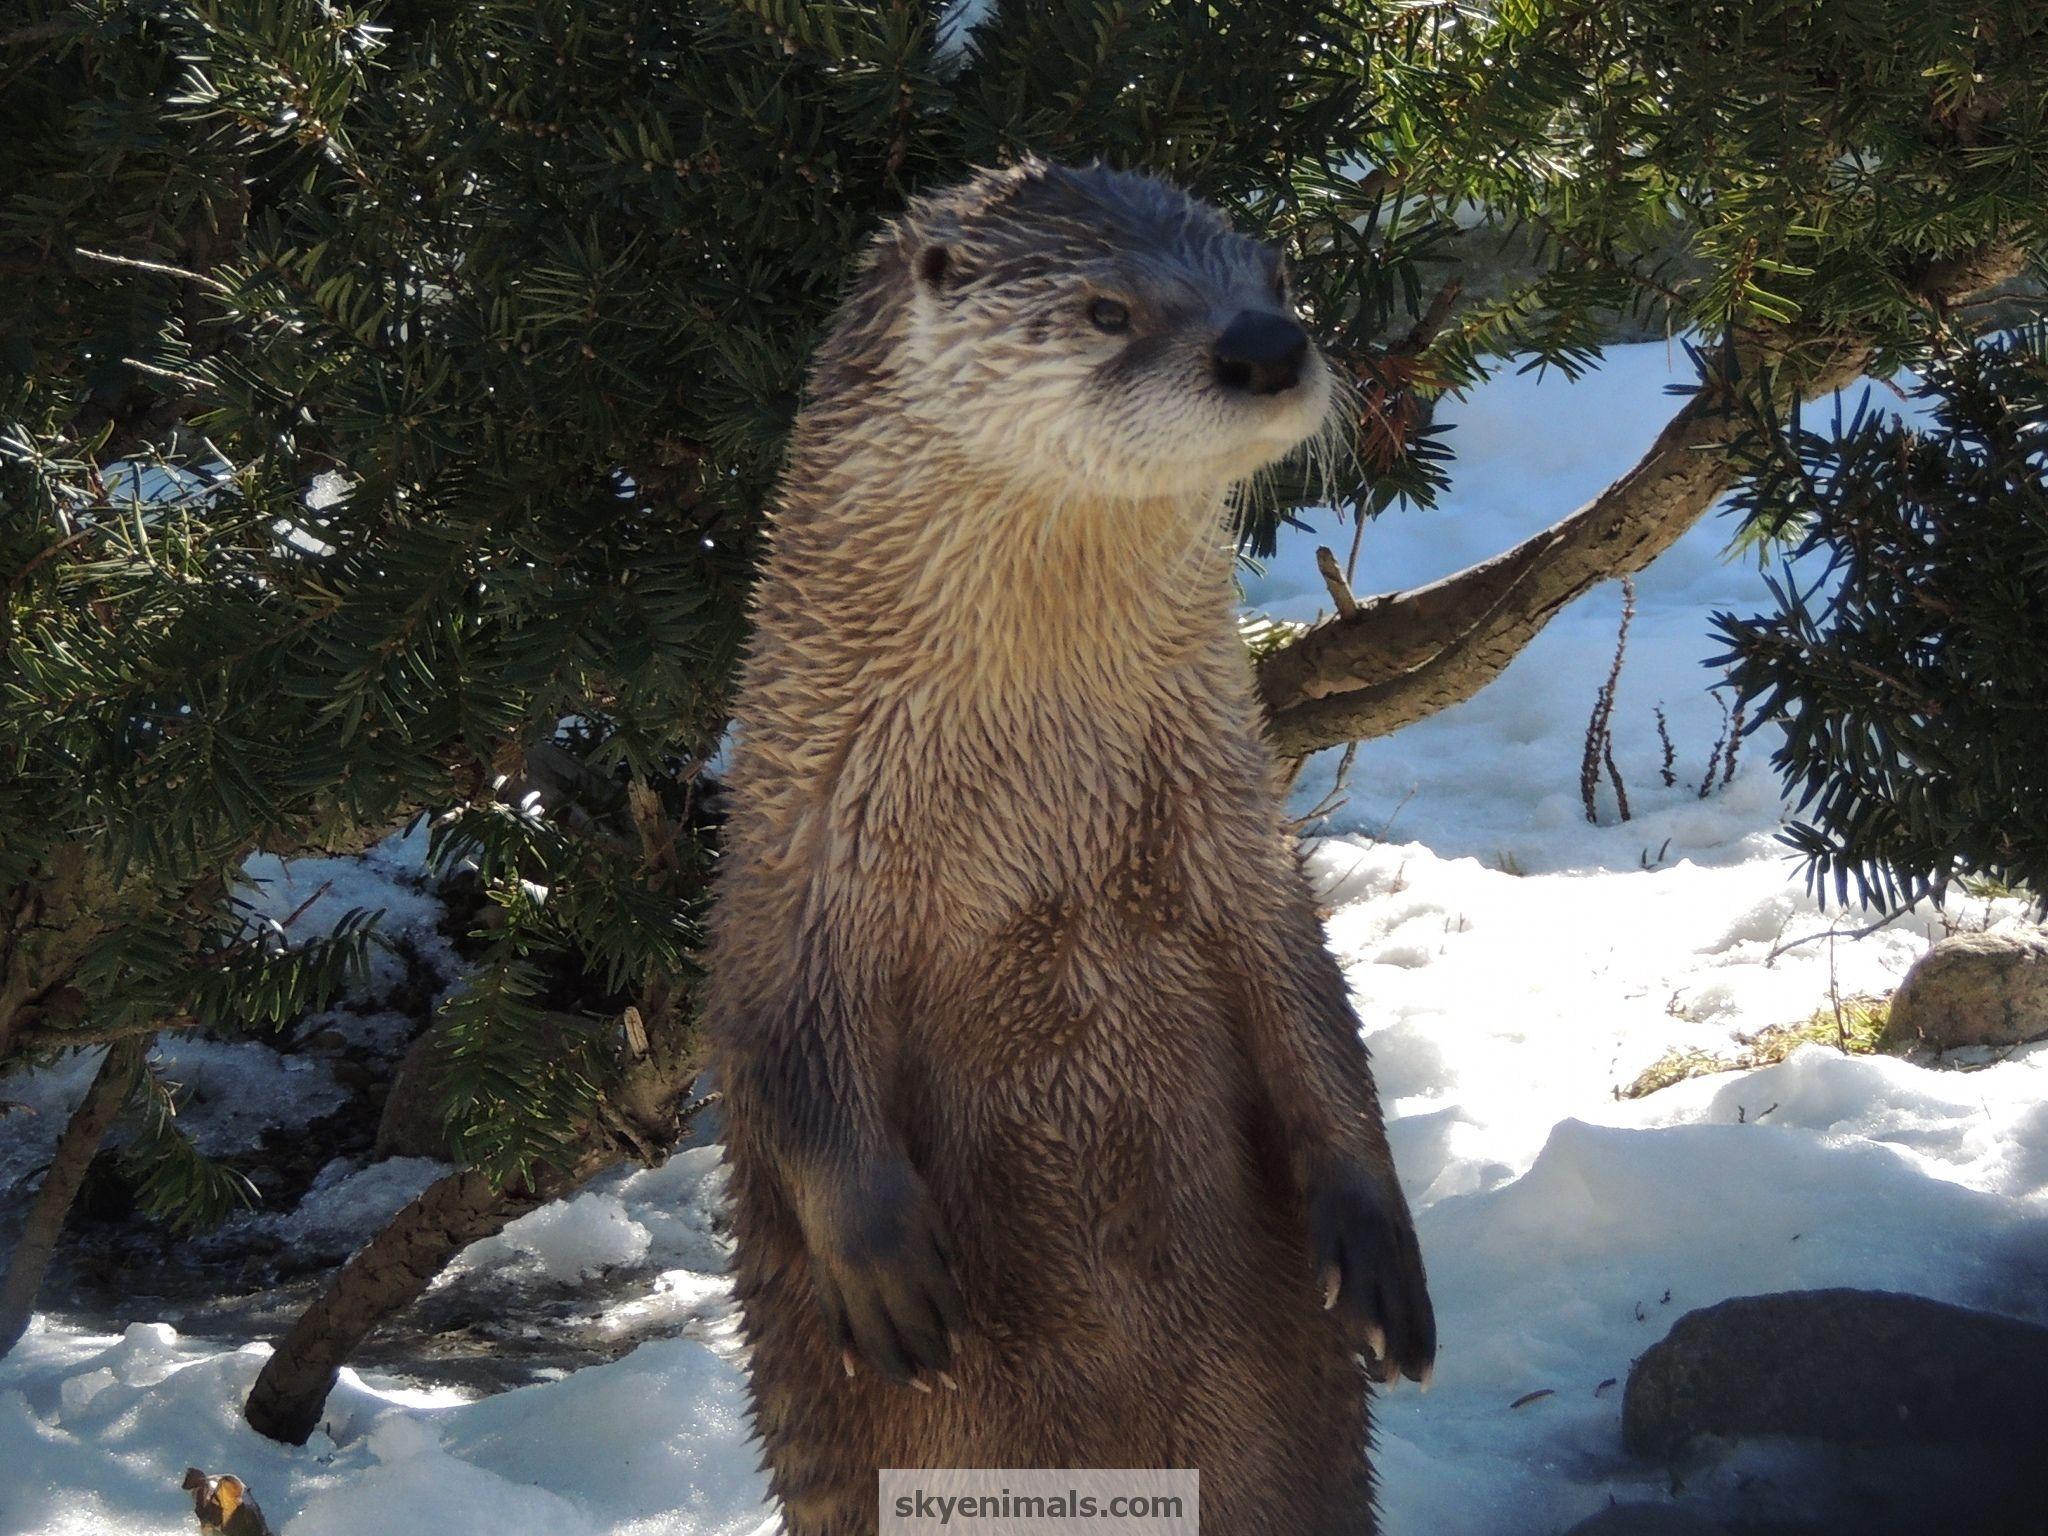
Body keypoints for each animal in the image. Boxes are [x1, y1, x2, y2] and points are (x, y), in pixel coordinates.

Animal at [707, 159, 1435, 1536]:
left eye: (1277, 277)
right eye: (1106, 310)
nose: (1268, 346)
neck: (1033, 798)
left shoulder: (1237, 836)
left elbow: (1319, 1023)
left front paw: (1379, 1258)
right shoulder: (800, 852)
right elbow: (790, 1042)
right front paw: (881, 1260)